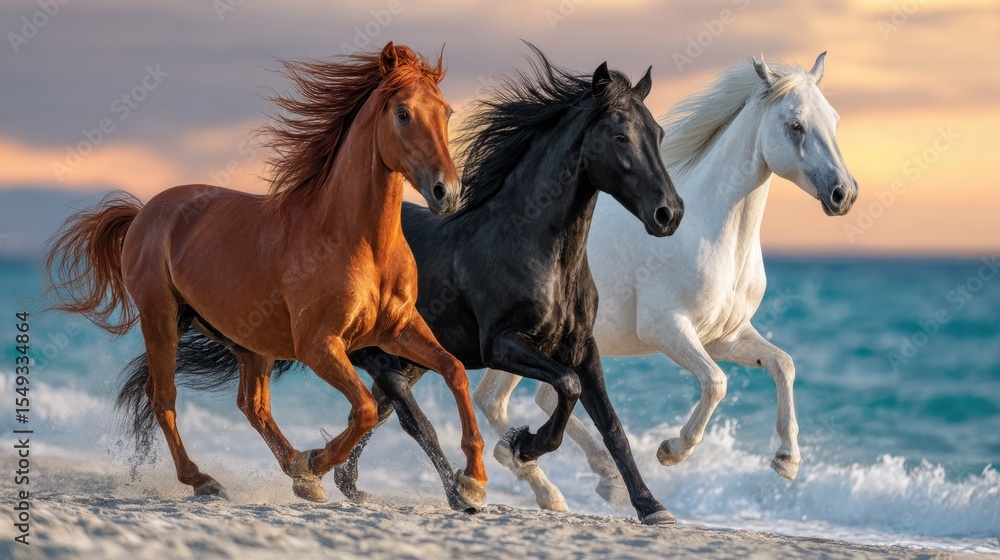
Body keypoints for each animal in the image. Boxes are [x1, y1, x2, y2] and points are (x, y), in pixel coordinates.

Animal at [43, 43, 488, 511]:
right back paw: (207, 480)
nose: (446, 192)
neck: (358, 243)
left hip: (248, 341)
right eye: (402, 113)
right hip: (161, 320)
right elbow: (366, 409)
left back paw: (295, 469)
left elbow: (454, 370)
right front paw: (316, 464)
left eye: (447, 112)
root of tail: (145, 211)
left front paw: (473, 483)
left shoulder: (397, 330)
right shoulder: (320, 345)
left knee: (252, 405)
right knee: (164, 398)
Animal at [475, 52, 859, 510]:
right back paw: (556, 486)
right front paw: (672, 450)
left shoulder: (724, 336)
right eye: (796, 125)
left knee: (531, 398)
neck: (711, 233)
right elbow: (716, 382)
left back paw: (597, 479)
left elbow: (783, 364)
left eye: (834, 119)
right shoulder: (666, 328)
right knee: (494, 401)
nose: (843, 194)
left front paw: (787, 461)